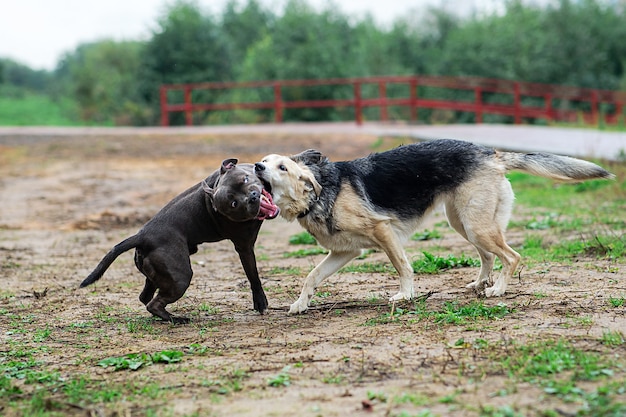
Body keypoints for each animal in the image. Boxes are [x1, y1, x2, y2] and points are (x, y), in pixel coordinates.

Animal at [80, 158, 278, 324]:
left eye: (245, 179)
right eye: (234, 204)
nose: (253, 196)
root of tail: (142, 236)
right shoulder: (244, 246)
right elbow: (253, 275)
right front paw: (260, 302)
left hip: (159, 275)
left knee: (145, 297)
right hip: (180, 277)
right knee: (153, 303)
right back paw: (176, 319)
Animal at [252, 138, 608, 314]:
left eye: (281, 167)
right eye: (266, 162)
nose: (256, 166)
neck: (322, 192)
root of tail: (491, 153)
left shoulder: (383, 232)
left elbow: (403, 266)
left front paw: (406, 295)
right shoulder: (344, 252)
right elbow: (311, 277)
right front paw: (300, 304)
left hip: (475, 225)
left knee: (512, 256)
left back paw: (498, 289)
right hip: (464, 223)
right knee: (489, 256)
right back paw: (481, 283)